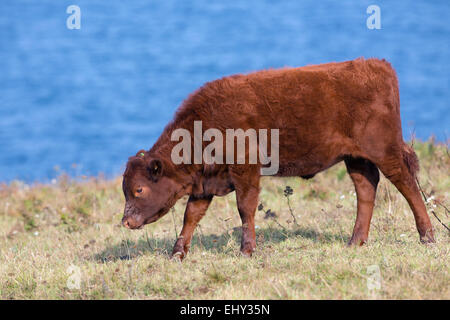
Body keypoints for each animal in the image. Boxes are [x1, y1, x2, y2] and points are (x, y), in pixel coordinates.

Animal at [121, 58, 434, 260]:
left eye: (139, 189)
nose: (126, 221)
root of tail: (376, 64)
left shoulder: (246, 170)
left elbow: (245, 208)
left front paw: (246, 250)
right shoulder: (205, 183)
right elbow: (191, 215)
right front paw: (177, 253)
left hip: (384, 150)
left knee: (406, 182)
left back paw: (427, 236)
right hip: (355, 158)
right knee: (366, 188)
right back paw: (355, 241)